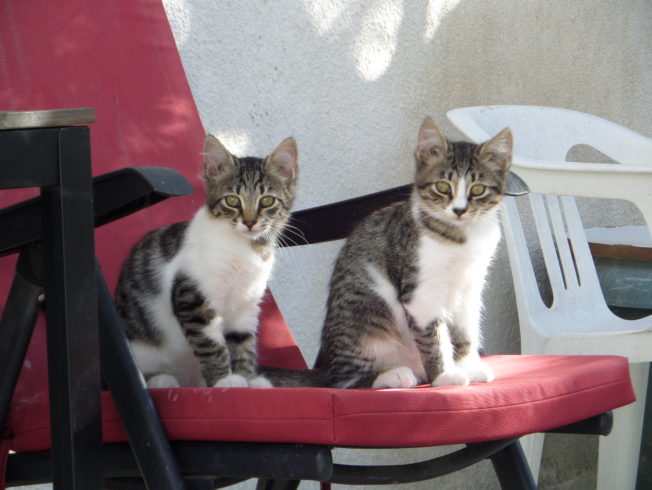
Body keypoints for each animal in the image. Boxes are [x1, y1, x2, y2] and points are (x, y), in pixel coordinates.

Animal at [115, 134, 298, 386]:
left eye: (268, 201)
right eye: (232, 200)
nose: (250, 222)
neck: (245, 250)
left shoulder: (247, 305)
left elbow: (243, 343)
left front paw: (247, 379)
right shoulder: (192, 296)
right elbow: (211, 346)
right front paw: (224, 381)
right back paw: (162, 379)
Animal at [314, 117, 512, 386]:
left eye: (478, 189)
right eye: (443, 187)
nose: (459, 210)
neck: (461, 236)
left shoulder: (472, 284)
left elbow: (466, 329)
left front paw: (468, 365)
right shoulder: (421, 289)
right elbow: (433, 335)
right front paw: (444, 374)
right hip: (362, 322)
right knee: (343, 380)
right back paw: (393, 375)